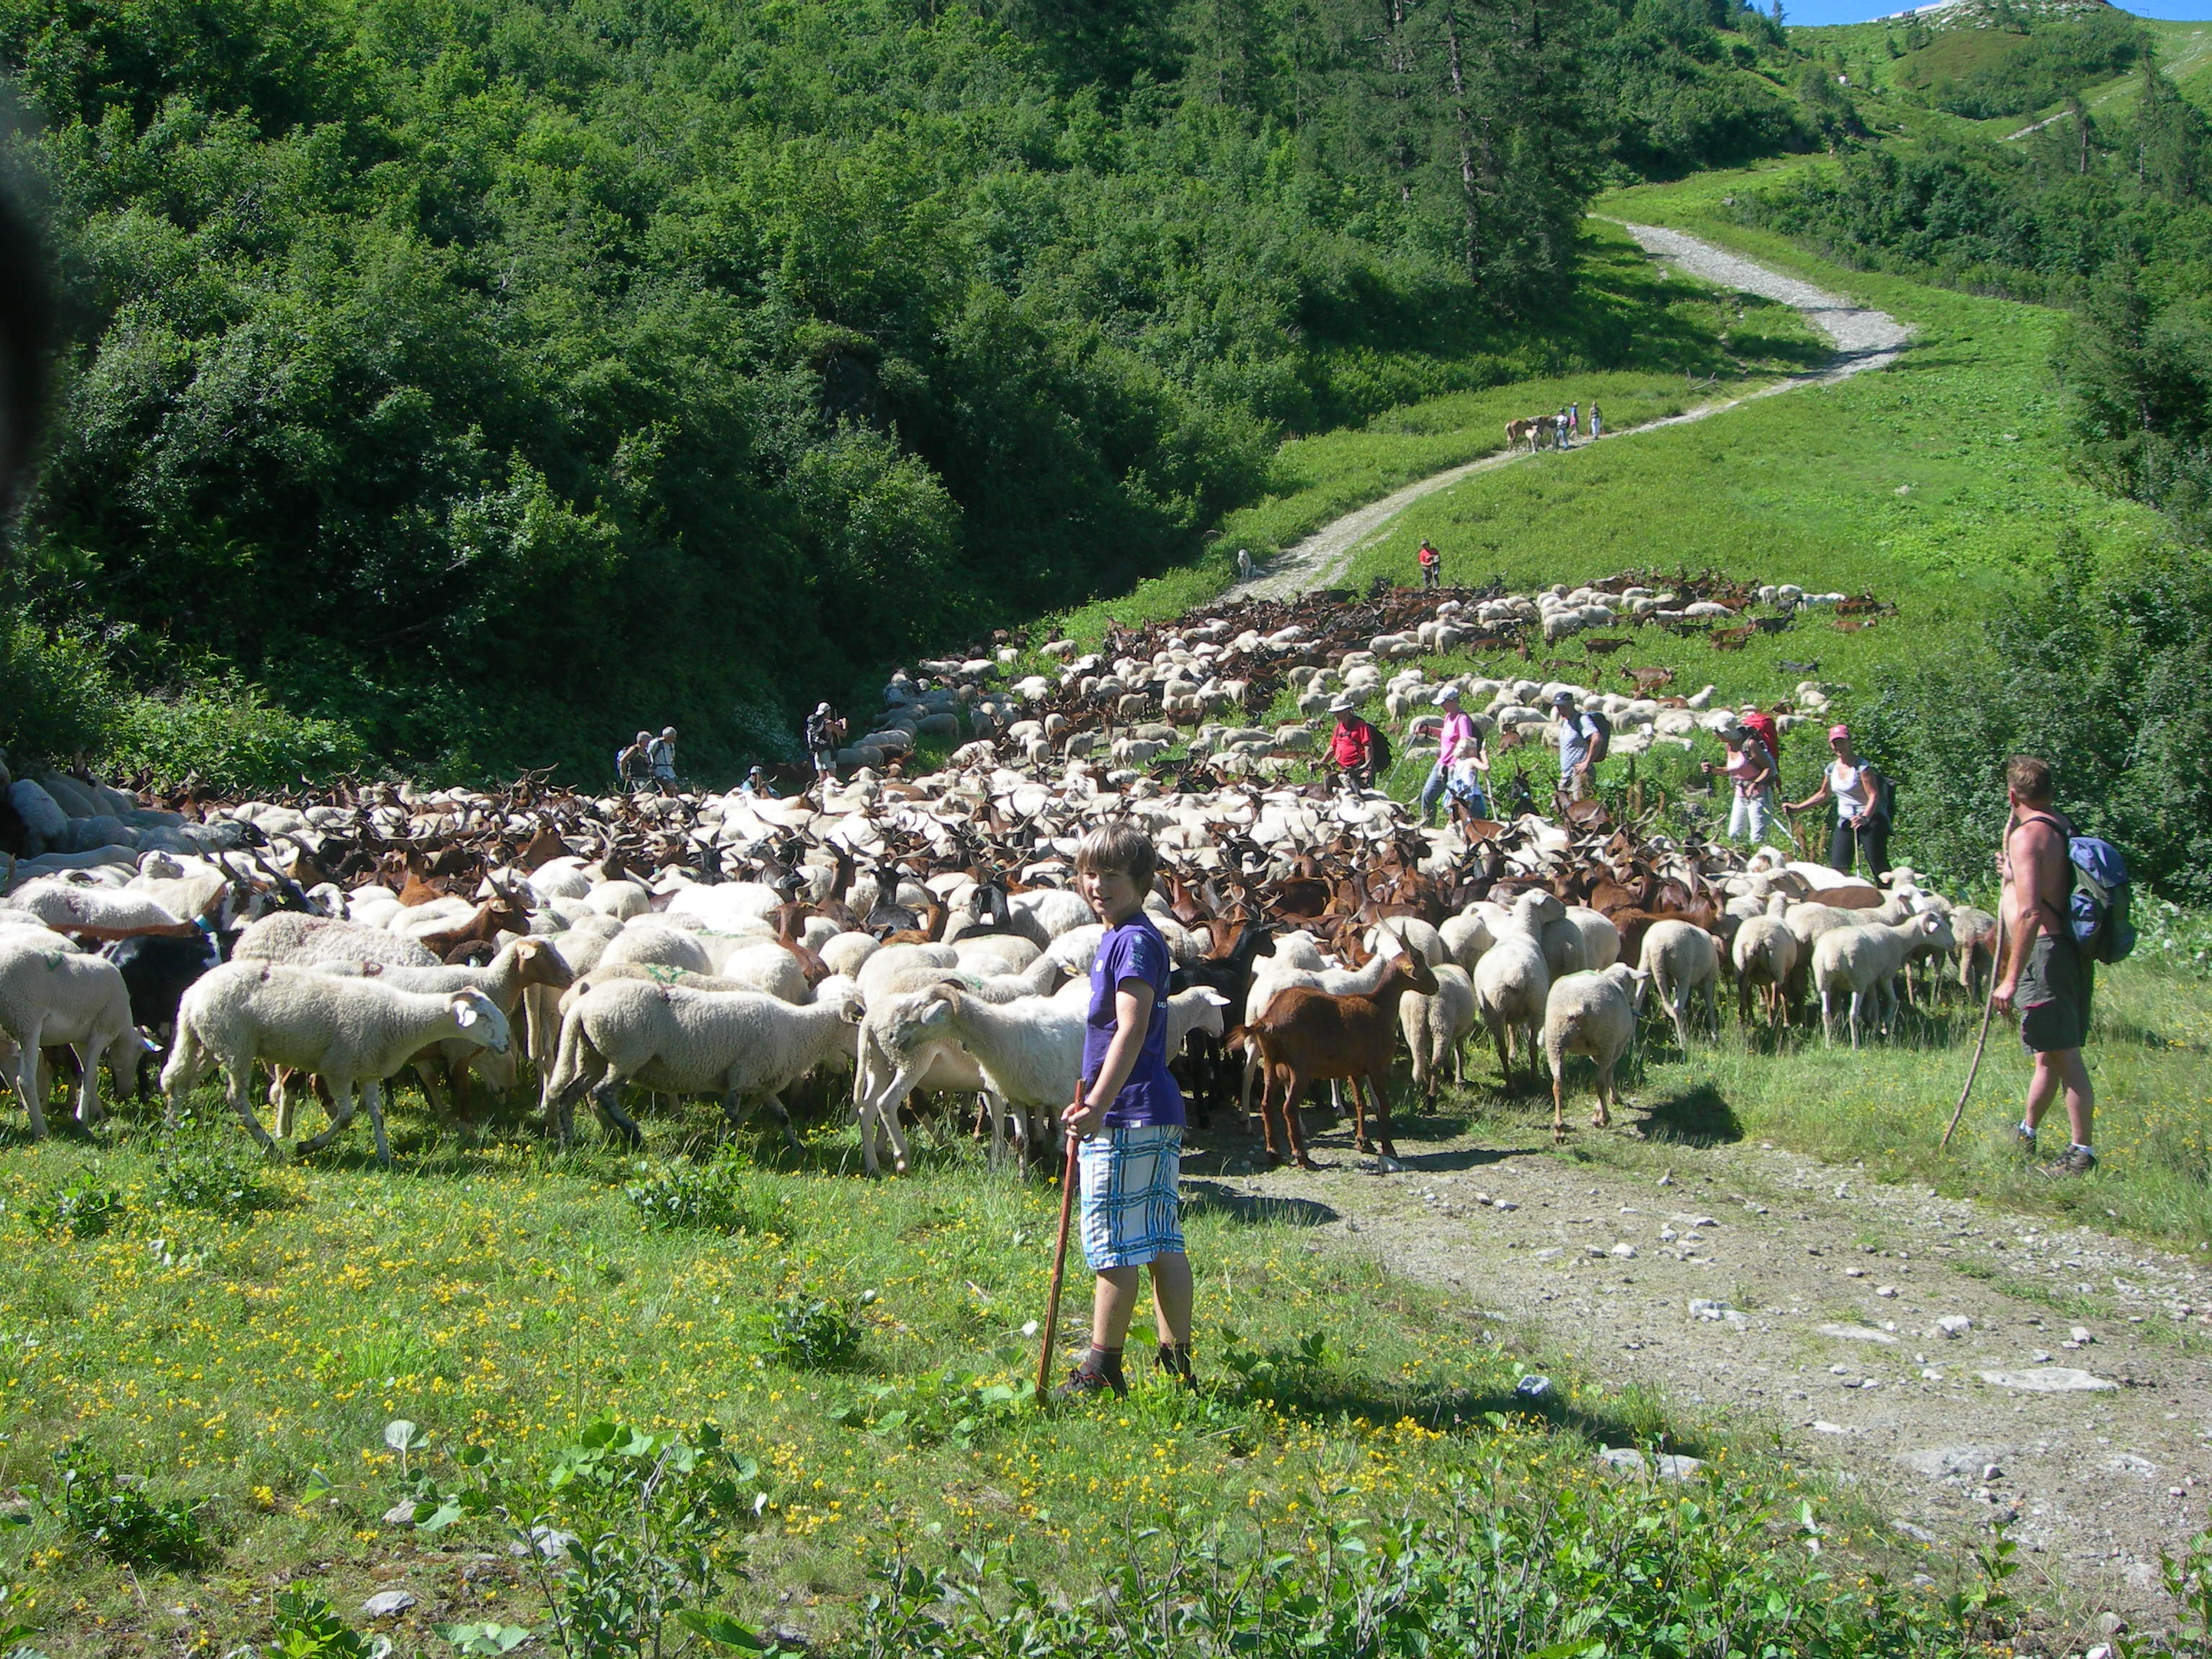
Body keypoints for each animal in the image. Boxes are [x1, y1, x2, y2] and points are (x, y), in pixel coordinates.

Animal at [0, 929, 148, 1141]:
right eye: (138, 1054)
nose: (128, 1093)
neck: (123, 1025)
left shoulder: (80, 1040)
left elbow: (86, 1072)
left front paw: (98, 1112)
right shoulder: (102, 1029)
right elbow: (89, 1074)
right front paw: (81, 1117)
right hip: (27, 1021)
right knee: (25, 1081)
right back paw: (41, 1130)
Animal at [163, 960, 508, 1168]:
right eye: (484, 1016)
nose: (506, 1044)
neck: (399, 1018)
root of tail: (193, 993)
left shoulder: (368, 1071)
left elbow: (377, 1116)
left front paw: (385, 1155)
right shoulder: (339, 1068)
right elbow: (345, 1117)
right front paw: (308, 1146)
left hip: (208, 1042)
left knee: (178, 1081)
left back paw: (173, 1130)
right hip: (236, 1046)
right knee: (235, 1098)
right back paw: (270, 1147)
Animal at [539, 981, 867, 1150]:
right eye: (857, 1024)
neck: (799, 1032)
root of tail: (581, 1006)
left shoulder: (761, 1083)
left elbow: (781, 1116)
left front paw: (797, 1148)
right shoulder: (741, 1075)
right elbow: (733, 1114)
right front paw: (724, 1146)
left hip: (592, 1054)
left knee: (571, 1094)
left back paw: (568, 1140)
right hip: (626, 1054)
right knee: (602, 1093)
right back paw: (632, 1133)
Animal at [1548, 960, 1654, 1141]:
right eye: (1633, 983)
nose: (1633, 1001)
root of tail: (1578, 1004)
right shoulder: (1617, 1047)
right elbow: (1609, 1074)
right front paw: (1608, 1104)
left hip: (1555, 1041)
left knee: (1558, 1082)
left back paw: (1559, 1128)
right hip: (1606, 1041)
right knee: (1599, 1081)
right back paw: (1605, 1118)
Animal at [1637, 925, 1716, 1053]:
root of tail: (1657, 945)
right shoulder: (1709, 979)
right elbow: (1710, 1004)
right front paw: (1715, 1036)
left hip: (1645, 966)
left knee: (1637, 1002)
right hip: (1682, 971)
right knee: (1677, 1008)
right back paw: (1683, 1043)